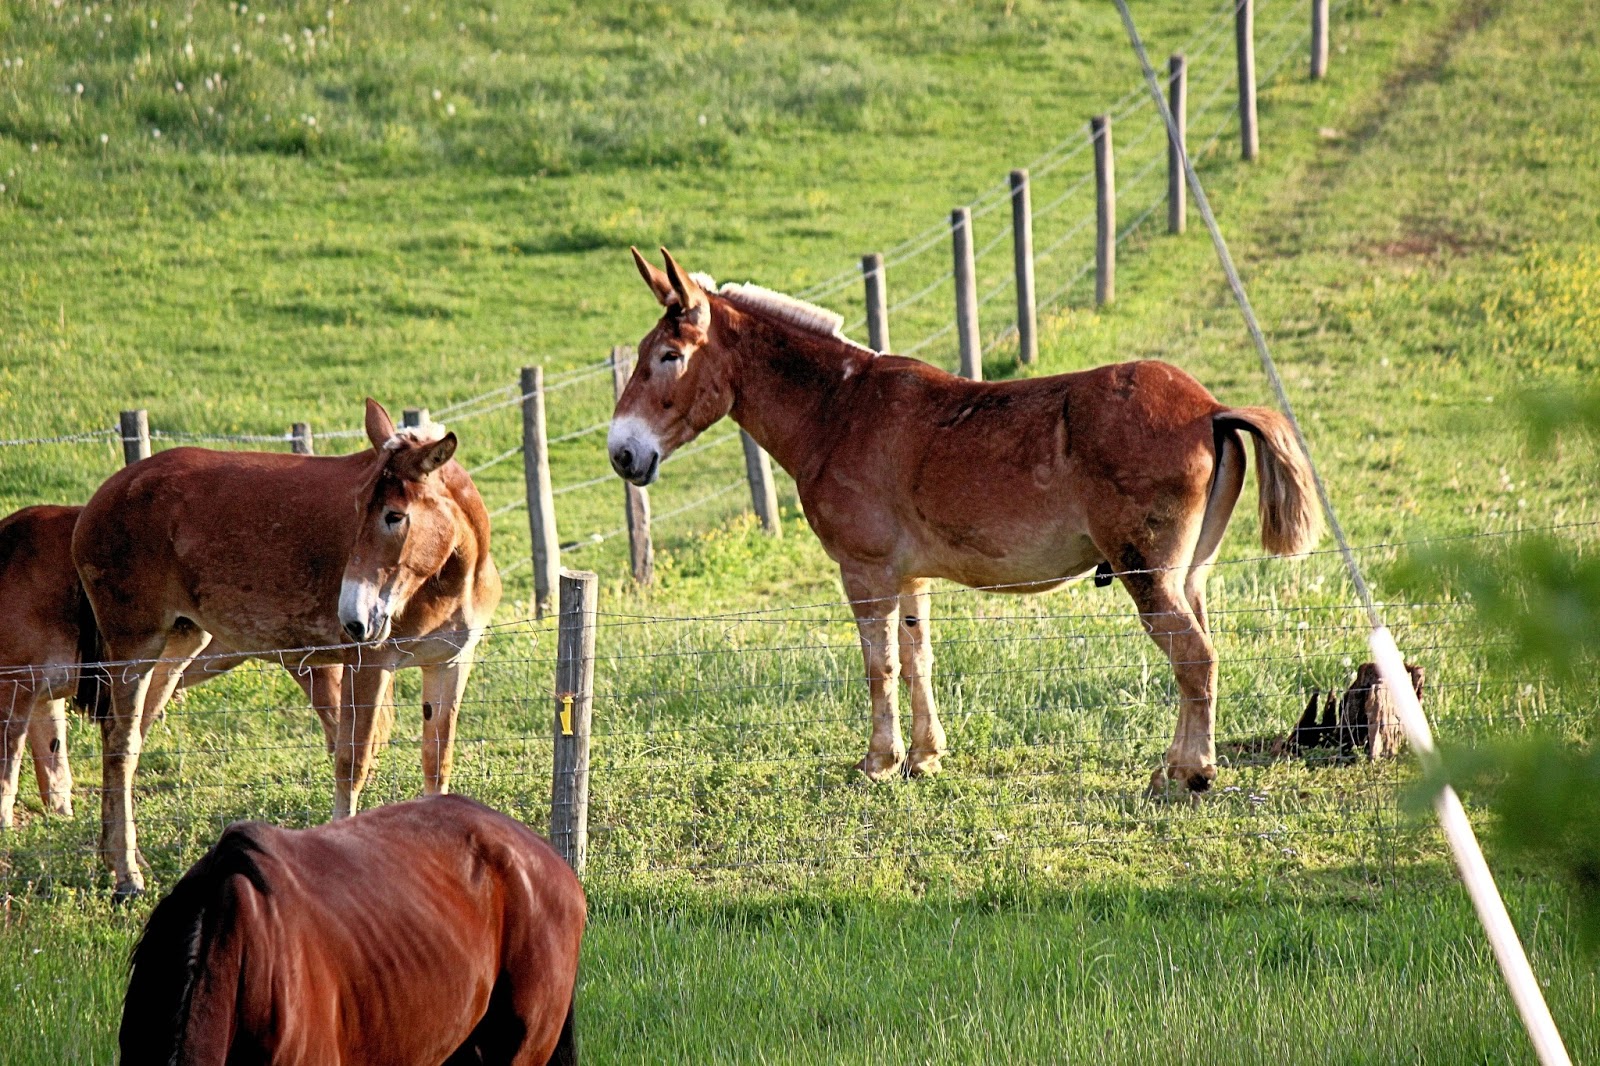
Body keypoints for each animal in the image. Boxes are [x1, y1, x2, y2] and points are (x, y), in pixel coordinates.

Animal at [73, 399, 501, 898]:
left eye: (394, 515)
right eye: (357, 509)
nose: (353, 618)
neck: (448, 576)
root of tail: (102, 498)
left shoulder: (450, 664)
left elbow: (437, 762)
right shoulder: (368, 664)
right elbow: (352, 762)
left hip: (179, 645)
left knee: (125, 737)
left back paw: (118, 856)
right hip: (135, 649)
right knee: (121, 746)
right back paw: (127, 874)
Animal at [609, 248, 1321, 796]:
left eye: (669, 355)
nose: (623, 452)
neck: (839, 409)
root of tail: (1209, 408)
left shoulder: (865, 573)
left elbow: (879, 667)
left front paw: (880, 761)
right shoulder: (910, 580)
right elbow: (917, 659)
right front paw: (924, 757)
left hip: (1147, 576)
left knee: (1194, 660)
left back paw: (1189, 773)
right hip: (1187, 576)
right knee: (1197, 654)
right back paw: (1177, 764)